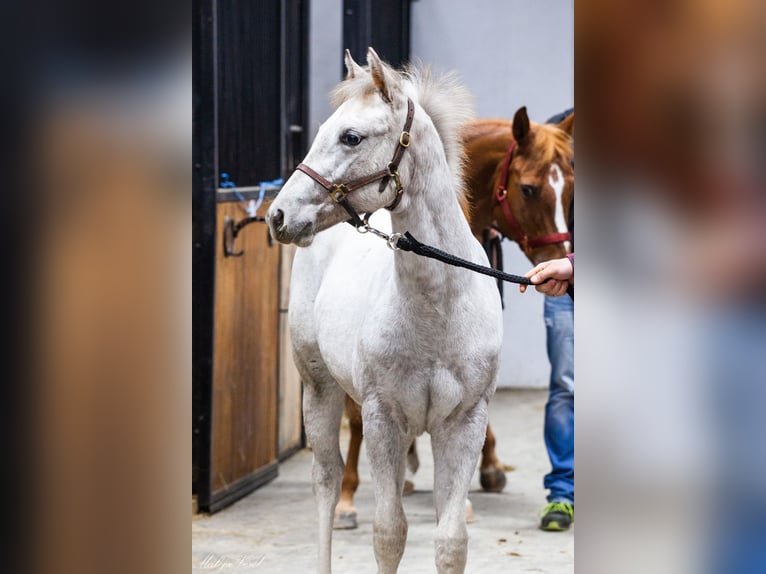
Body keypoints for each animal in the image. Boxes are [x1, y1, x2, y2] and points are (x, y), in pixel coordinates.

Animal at [268, 47, 508, 572]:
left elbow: (450, 539)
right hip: (319, 388)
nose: (278, 216)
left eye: (351, 136)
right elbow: (389, 534)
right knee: (326, 478)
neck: (438, 310)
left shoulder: (463, 423)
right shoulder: (384, 419)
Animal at [332, 107, 572, 532]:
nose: (559, 259)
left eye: (572, 189)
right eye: (529, 189)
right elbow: (360, 416)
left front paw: (481, 476)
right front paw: (347, 499)